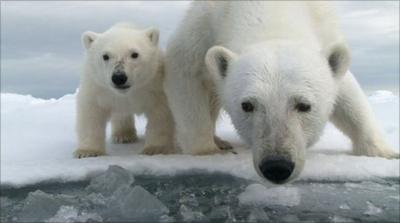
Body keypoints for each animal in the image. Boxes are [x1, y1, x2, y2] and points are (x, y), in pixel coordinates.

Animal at [164, 0, 398, 184]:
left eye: (304, 105)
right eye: (247, 105)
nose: (277, 166)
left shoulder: (325, 29)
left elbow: (348, 95)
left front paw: (385, 153)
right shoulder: (202, 27)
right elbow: (185, 74)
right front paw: (207, 151)